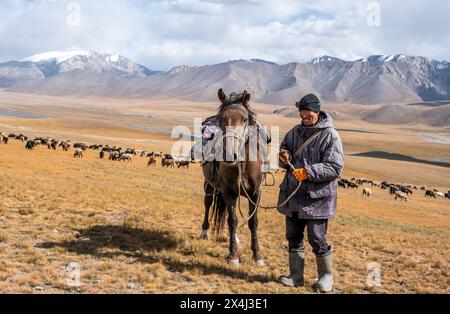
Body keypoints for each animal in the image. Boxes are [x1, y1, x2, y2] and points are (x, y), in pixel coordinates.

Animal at [200, 88, 264, 268]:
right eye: (221, 118)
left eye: (244, 119)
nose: (229, 154)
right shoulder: (228, 191)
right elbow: (232, 221)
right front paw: (233, 255)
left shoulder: (255, 193)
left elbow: (253, 222)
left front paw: (257, 255)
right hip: (209, 184)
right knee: (208, 203)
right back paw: (204, 232)